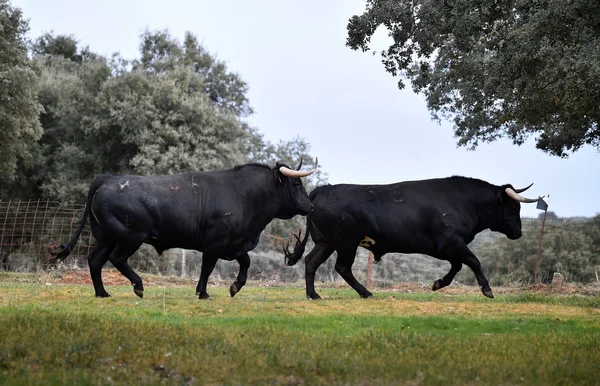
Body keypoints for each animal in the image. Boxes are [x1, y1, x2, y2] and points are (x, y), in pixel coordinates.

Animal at [48, 161, 316, 300]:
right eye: (295, 184)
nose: (310, 206)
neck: (244, 194)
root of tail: (108, 178)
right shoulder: (215, 243)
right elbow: (207, 268)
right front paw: (203, 293)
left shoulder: (235, 244)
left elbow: (246, 263)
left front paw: (235, 286)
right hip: (129, 237)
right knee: (116, 259)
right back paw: (138, 286)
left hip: (105, 237)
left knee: (95, 260)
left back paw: (102, 293)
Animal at [284, 176, 540, 300]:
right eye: (512, 208)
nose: (518, 233)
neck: (464, 200)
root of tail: (323, 190)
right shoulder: (451, 243)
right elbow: (473, 261)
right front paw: (487, 289)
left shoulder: (448, 247)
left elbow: (457, 266)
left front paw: (438, 284)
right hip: (345, 243)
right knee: (342, 267)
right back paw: (365, 293)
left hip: (326, 243)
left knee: (311, 262)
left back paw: (314, 295)